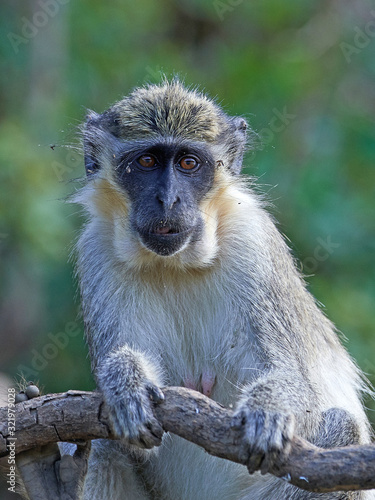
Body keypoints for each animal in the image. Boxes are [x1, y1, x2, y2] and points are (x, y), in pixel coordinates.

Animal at [72, 80, 374, 498]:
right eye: (146, 162)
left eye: (188, 163)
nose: (168, 199)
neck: (176, 266)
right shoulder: (96, 251)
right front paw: (124, 384)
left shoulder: (254, 242)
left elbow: (303, 390)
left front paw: (270, 408)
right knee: (102, 440)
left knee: (342, 431)